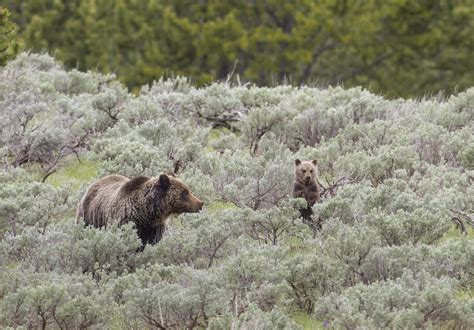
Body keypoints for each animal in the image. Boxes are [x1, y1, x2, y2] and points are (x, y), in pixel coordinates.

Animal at [76, 173, 204, 245]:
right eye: (184, 192)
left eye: (188, 190)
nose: (200, 203)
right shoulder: (126, 222)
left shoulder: (154, 227)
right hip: (88, 217)